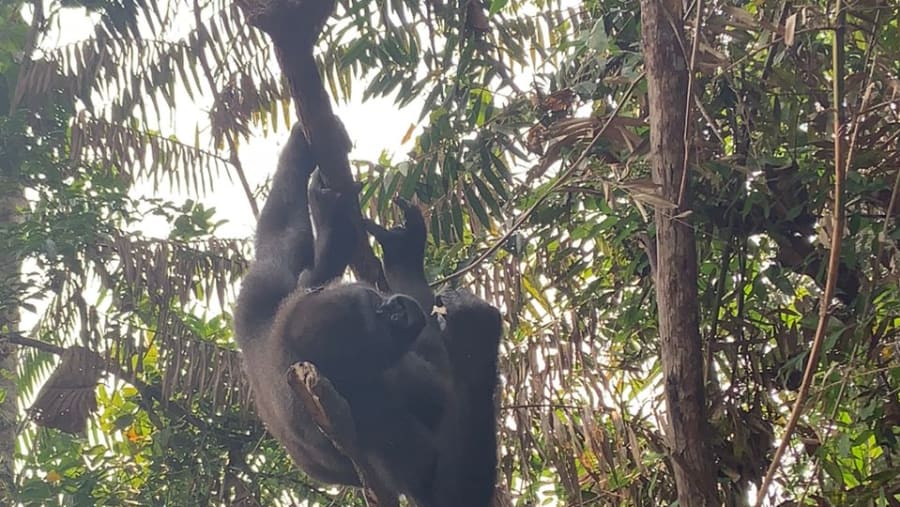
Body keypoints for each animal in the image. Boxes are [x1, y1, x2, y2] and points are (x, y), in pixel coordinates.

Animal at [234, 123, 501, 506]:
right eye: (381, 327)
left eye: (376, 301)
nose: (398, 310)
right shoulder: (362, 411)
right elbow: (440, 493)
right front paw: (475, 341)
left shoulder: (260, 305)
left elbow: (279, 235)